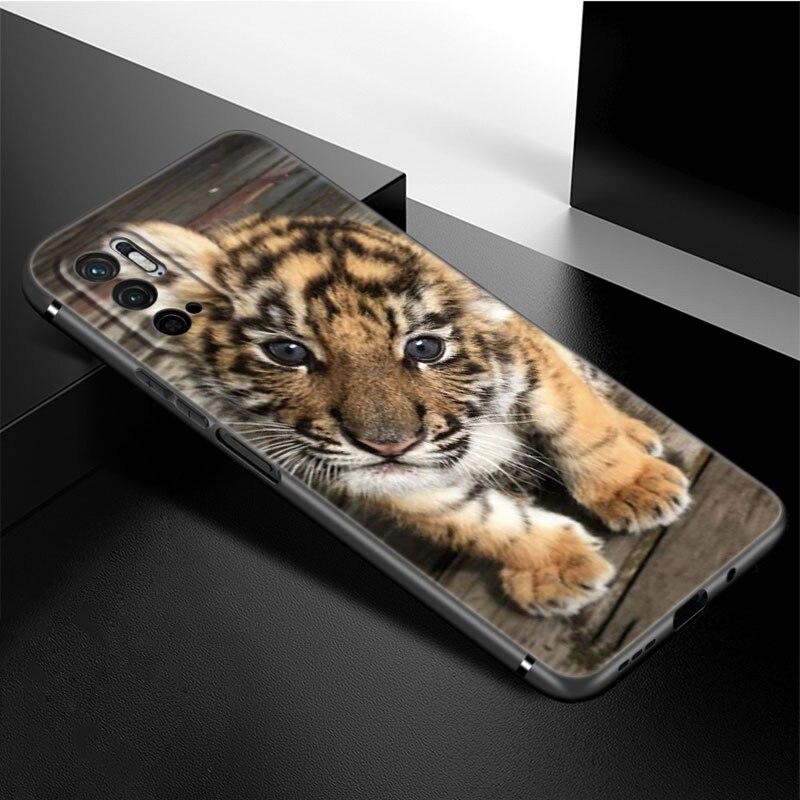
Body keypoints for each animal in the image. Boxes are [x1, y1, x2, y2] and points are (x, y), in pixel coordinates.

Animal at [131, 215, 691, 617]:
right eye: (287, 352)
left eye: (425, 348)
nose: (389, 444)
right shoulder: (371, 476)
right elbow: (474, 520)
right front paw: (554, 567)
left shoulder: (529, 363)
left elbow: (579, 427)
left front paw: (635, 490)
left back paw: (638, 439)